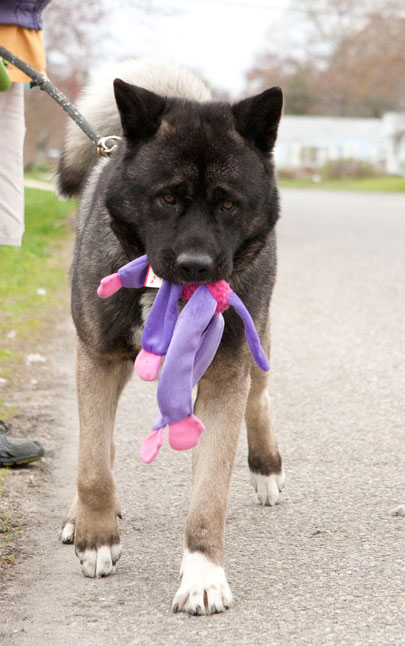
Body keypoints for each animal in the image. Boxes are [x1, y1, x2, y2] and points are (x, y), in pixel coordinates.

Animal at [56, 59, 284, 616]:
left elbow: (209, 495)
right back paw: (82, 515)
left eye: (228, 205)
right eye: (167, 198)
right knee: (98, 446)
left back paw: (266, 464)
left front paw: (203, 575)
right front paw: (97, 536)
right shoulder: (98, 358)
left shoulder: (225, 375)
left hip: (255, 344)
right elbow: (93, 463)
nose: (196, 266)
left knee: (260, 395)